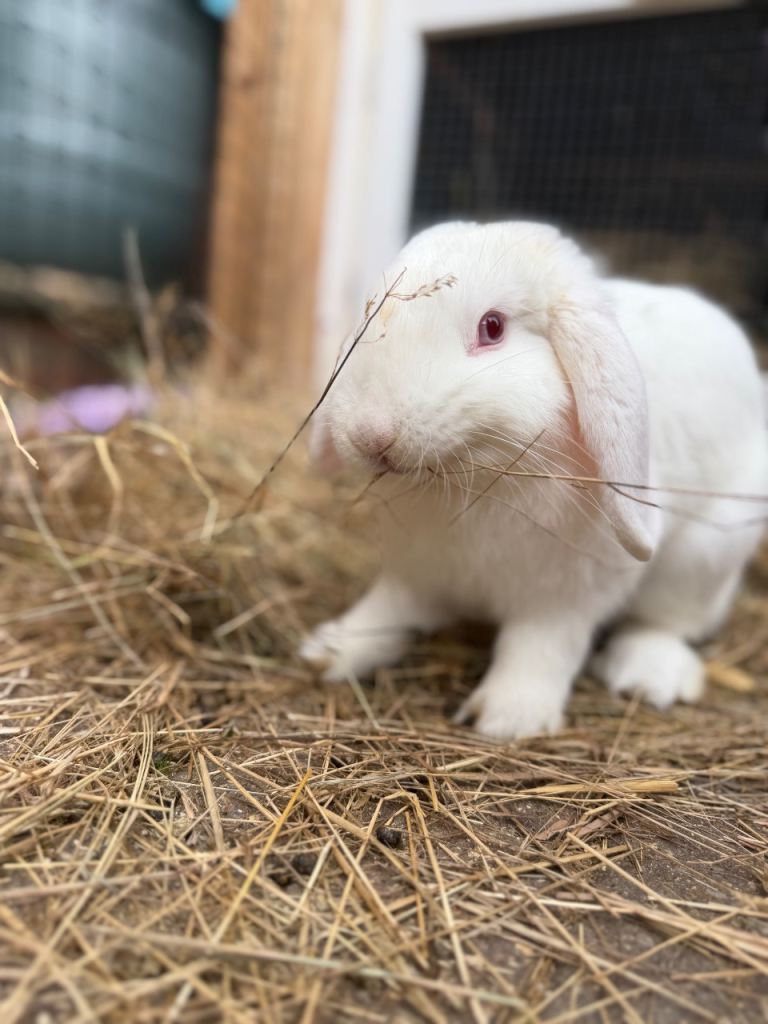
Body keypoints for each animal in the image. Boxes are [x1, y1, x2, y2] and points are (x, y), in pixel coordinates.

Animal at [300, 221, 768, 739]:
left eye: (493, 327)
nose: (371, 435)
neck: (473, 483)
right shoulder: (415, 571)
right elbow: (386, 612)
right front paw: (329, 652)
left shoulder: (565, 596)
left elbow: (540, 646)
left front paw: (508, 719)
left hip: (702, 560)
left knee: (668, 623)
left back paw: (646, 676)